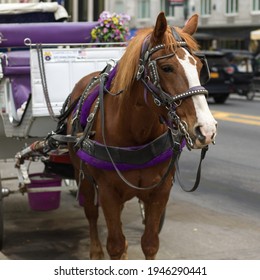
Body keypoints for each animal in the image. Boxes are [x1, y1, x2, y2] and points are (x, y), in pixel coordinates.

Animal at [66, 12, 216, 260]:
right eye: (166, 68)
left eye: (200, 66)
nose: (206, 129)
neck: (136, 133)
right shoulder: (107, 192)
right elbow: (116, 246)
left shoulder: (160, 192)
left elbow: (150, 244)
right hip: (83, 175)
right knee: (91, 212)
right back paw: (95, 251)